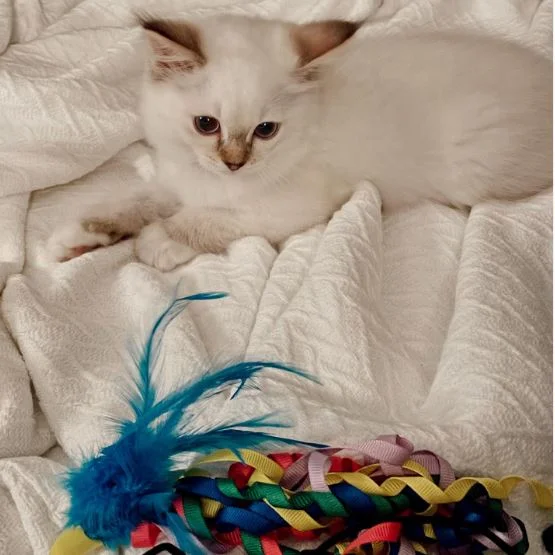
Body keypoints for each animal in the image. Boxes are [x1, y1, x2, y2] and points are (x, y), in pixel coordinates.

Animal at [48, 15, 552, 272]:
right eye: (206, 124)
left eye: (265, 130)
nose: (234, 164)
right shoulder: (179, 180)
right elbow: (131, 202)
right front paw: (75, 238)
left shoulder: (289, 207)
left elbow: (205, 220)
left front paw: (158, 241)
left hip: (478, 169)